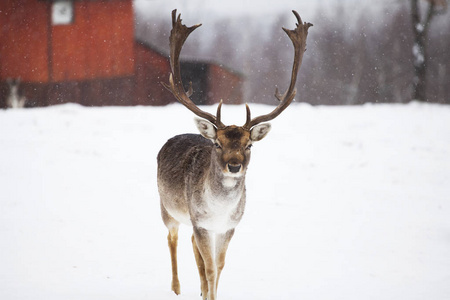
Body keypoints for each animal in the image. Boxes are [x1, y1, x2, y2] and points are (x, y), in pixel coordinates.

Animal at [156, 9, 312, 300]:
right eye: (217, 143)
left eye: (249, 145)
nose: (234, 165)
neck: (219, 210)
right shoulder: (201, 222)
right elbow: (210, 269)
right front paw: (204, 292)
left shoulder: (229, 226)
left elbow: (218, 267)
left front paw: (209, 292)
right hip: (167, 209)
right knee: (172, 238)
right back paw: (176, 288)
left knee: (192, 246)